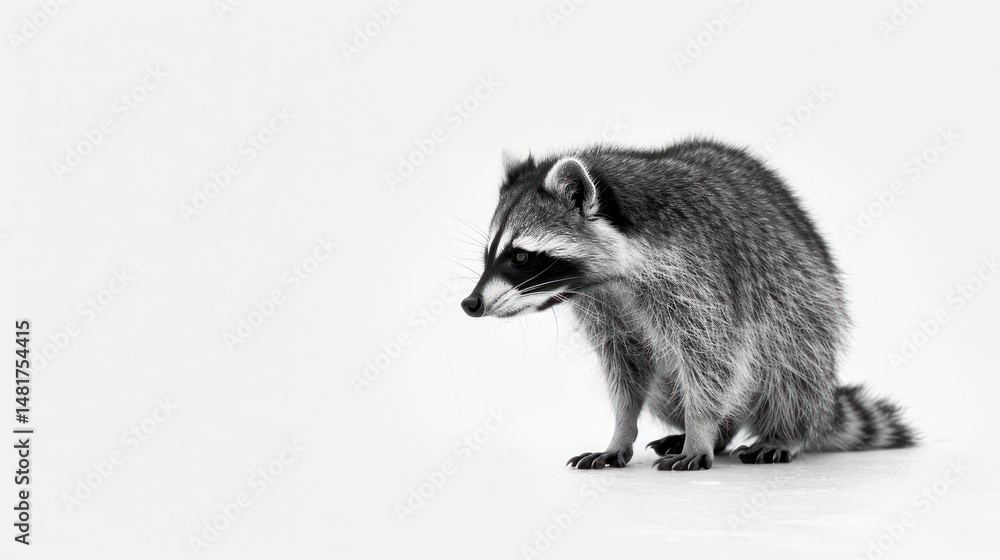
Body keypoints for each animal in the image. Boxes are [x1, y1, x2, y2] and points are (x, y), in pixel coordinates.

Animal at [460, 139, 914, 471]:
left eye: (521, 256)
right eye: (488, 254)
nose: (471, 303)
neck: (611, 278)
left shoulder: (696, 275)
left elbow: (714, 357)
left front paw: (700, 430)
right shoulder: (606, 305)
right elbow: (626, 368)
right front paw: (621, 430)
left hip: (808, 308)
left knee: (789, 367)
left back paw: (783, 430)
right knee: (667, 385)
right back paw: (725, 431)